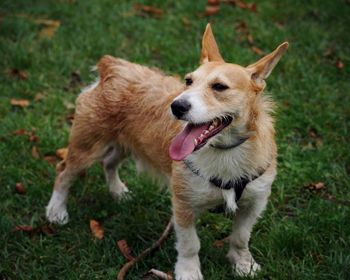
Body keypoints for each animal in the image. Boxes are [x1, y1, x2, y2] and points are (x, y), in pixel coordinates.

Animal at [45, 24, 288, 280]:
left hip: (127, 143)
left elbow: (241, 237)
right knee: (64, 172)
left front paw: (243, 263)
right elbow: (190, 244)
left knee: (109, 163)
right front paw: (189, 271)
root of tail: (113, 66)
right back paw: (56, 210)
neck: (225, 151)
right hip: (88, 146)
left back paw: (118, 191)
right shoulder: (183, 205)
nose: (176, 106)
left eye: (219, 87)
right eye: (188, 81)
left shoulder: (255, 202)